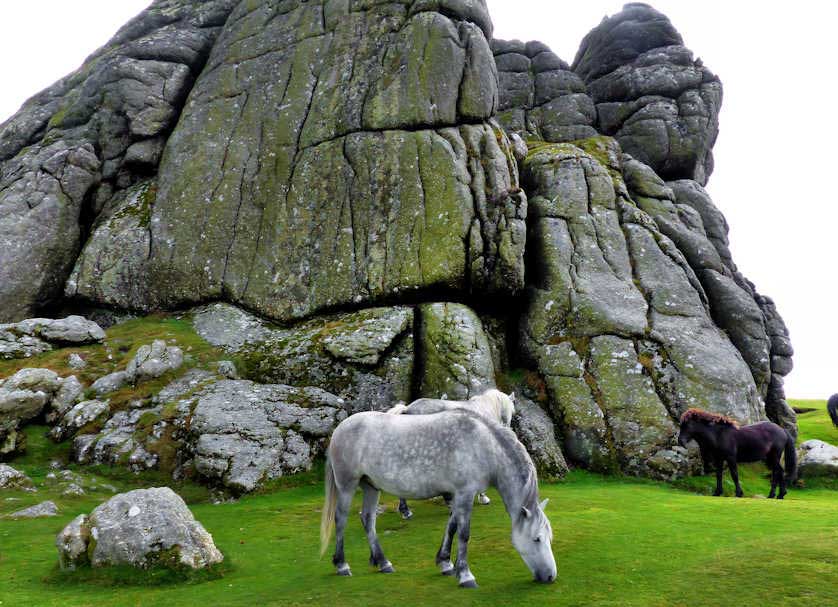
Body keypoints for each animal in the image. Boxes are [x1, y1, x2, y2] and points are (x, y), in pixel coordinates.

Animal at [320, 408, 556, 587]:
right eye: (537, 538)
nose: (551, 576)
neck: (483, 445)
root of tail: (340, 428)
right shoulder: (465, 493)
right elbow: (464, 534)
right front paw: (466, 576)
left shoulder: (458, 495)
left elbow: (451, 527)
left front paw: (445, 563)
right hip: (347, 486)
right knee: (340, 520)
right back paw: (342, 565)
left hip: (371, 487)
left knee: (368, 519)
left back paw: (383, 562)